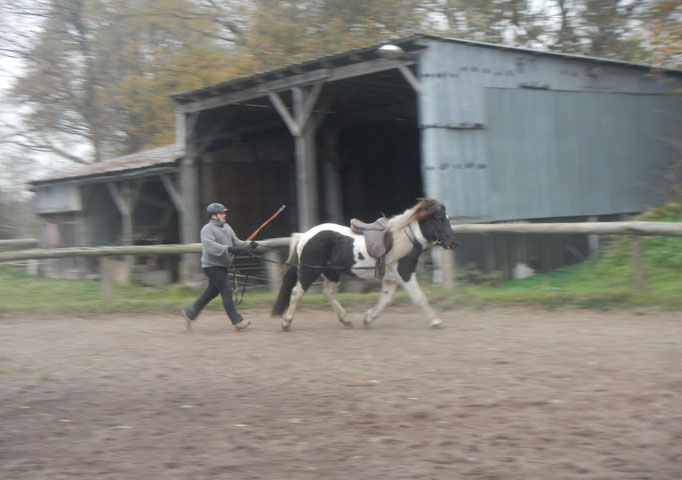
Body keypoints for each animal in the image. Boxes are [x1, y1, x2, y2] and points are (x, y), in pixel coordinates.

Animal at [270, 199, 456, 330]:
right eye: (440, 219)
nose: (453, 243)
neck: (404, 238)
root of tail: (303, 236)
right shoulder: (405, 274)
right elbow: (420, 298)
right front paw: (436, 321)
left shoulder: (391, 278)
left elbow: (385, 300)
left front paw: (368, 318)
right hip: (309, 271)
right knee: (296, 293)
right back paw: (286, 323)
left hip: (331, 272)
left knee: (329, 293)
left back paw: (346, 320)